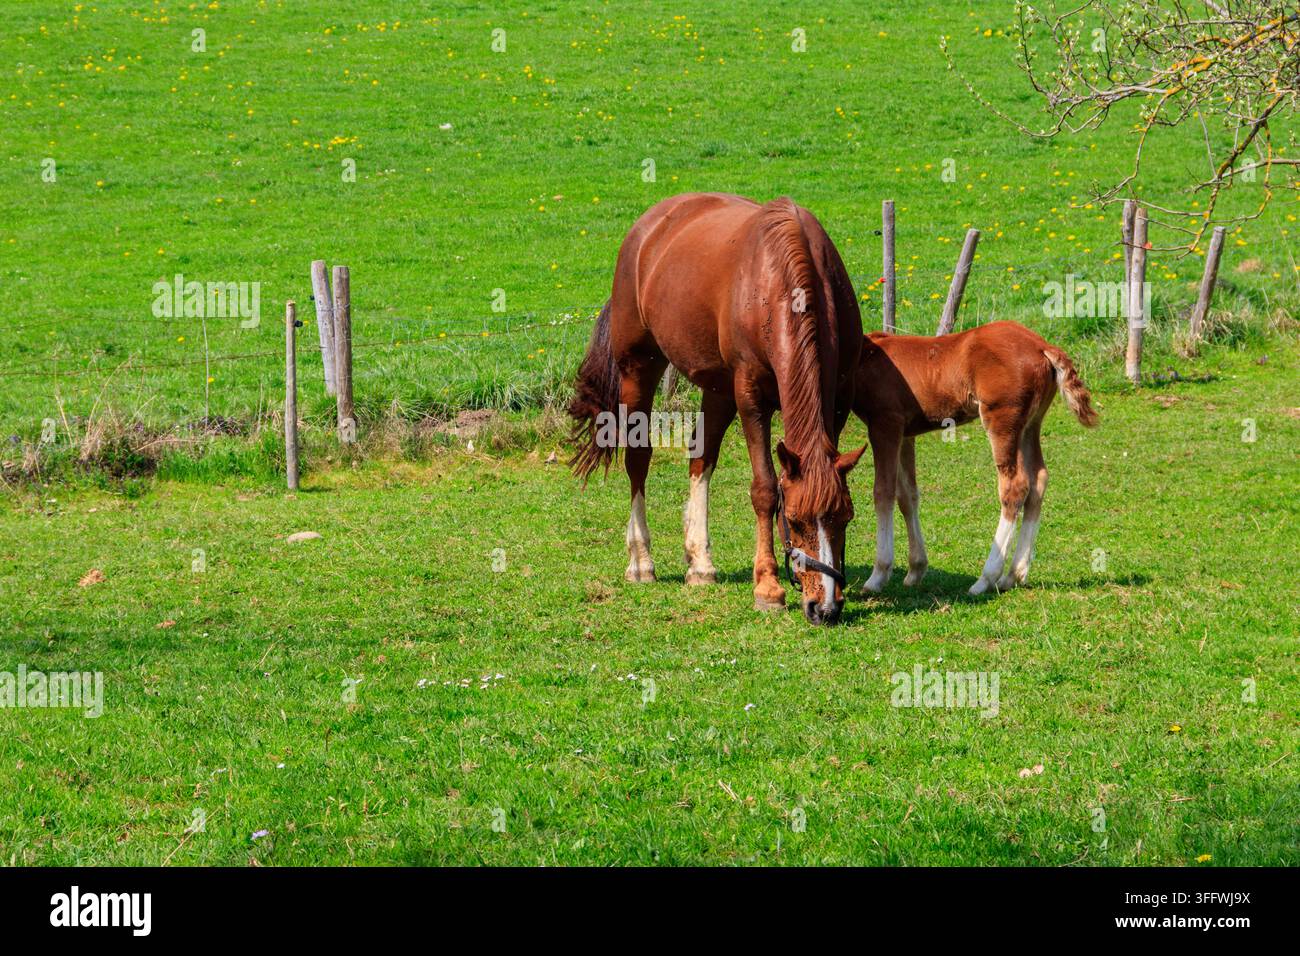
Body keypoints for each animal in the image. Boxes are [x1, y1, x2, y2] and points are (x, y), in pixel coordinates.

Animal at [568, 193, 866, 625]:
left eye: (845, 517)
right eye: (793, 521)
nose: (824, 607)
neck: (780, 284)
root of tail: (648, 226)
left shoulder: (838, 401)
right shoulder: (751, 399)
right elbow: (764, 489)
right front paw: (768, 587)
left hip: (717, 389)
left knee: (701, 456)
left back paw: (700, 564)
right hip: (639, 368)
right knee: (638, 459)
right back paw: (641, 561)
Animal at [850, 320, 1098, 597]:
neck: (865, 355)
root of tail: (1042, 345)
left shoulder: (885, 425)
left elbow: (883, 493)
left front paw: (878, 575)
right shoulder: (906, 434)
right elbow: (907, 496)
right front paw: (915, 570)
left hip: (1001, 419)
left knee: (1015, 486)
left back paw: (986, 578)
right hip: (1030, 425)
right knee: (1039, 480)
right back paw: (1013, 575)